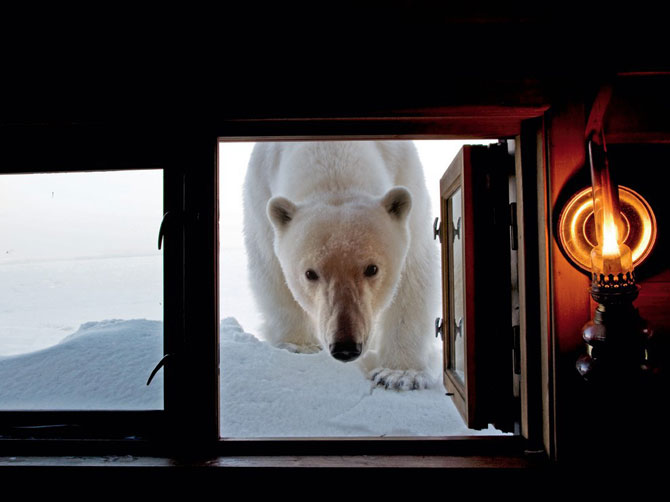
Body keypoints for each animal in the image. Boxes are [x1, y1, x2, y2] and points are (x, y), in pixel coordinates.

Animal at [243, 139, 440, 390]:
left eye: (372, 268)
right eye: (310, 273)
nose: (345, 347)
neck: (332, 152)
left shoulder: (406, 177)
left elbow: (413, 275)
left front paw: (399, 374)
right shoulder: (260, 193)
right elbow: (270, 269)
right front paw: (299, 346)